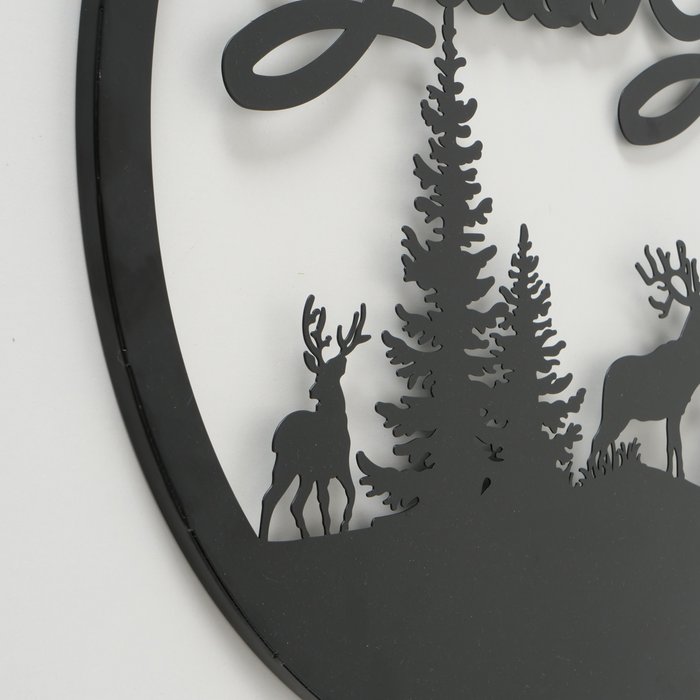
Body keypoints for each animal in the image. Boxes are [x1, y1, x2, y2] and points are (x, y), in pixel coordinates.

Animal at [259, 295, 371, 540]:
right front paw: (340, 528)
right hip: (290, 464)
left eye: (328, 377)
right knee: (278, 500)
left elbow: (342, 497)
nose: (311, 391)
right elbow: (335, 502)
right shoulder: (333, 466)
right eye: (318, 375)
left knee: (289, 502)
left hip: (296, 469)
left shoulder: (330, 468)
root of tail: (277, 438)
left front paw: (339, 527)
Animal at [589, 241, 700, 478]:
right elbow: (676, 444)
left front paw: (672, 473)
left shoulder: (676, 408)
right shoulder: (674, 405)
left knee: (602, 440)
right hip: (616, 410)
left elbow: (672, 444)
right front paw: (678, 476)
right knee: (598, 439)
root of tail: (607, 377)